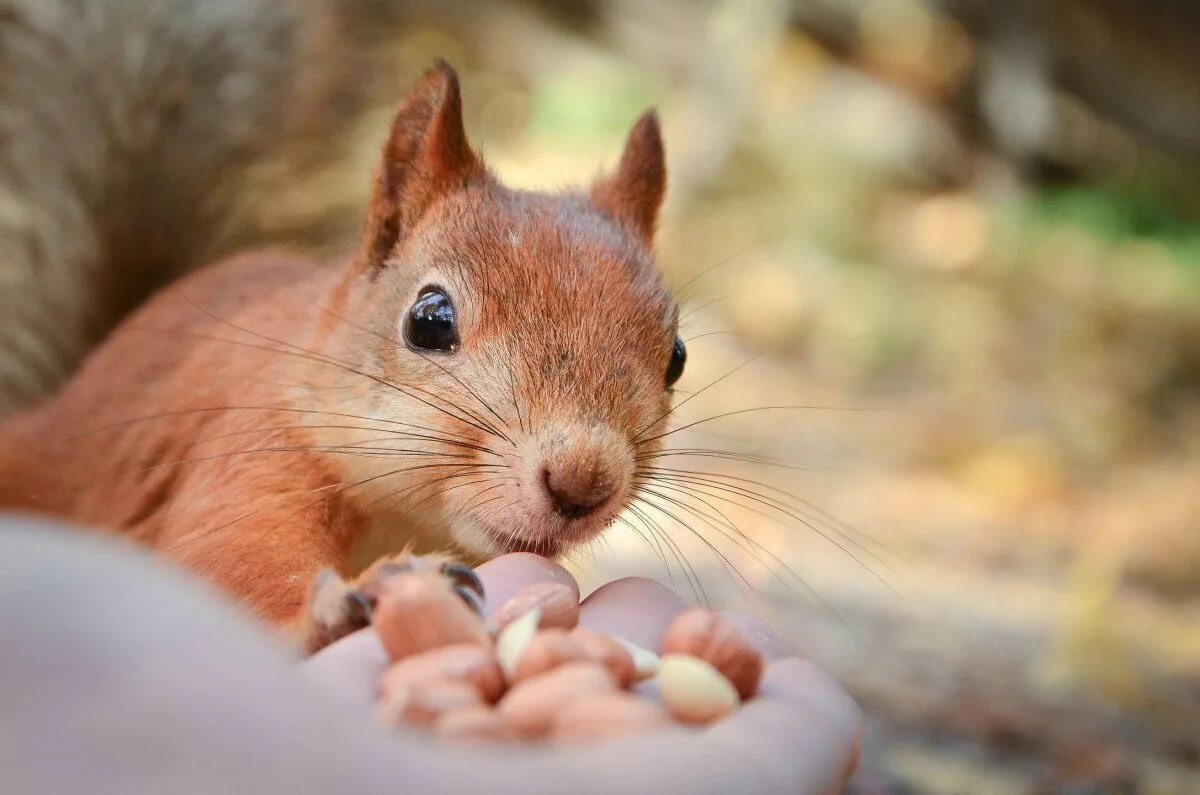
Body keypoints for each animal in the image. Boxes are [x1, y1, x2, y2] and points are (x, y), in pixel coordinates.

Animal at [0, 17, 686, 653]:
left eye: (676, 357)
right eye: (429, 320)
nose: (582, 483)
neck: (406, 517)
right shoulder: (250, 451)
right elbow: (226, 560)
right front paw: (341, 604)